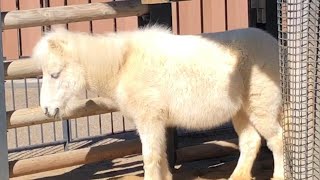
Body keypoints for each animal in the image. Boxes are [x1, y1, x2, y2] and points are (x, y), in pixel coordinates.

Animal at [32, 26, 282, 180]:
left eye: (54, 74)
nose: (47, 110)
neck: (124, 65)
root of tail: (276, 46)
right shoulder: (157, 122)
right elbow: (160, 155)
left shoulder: (149, 120)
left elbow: (150, 157)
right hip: (241, 111)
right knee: (250, 142)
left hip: (261, 108)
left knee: (276, 140)